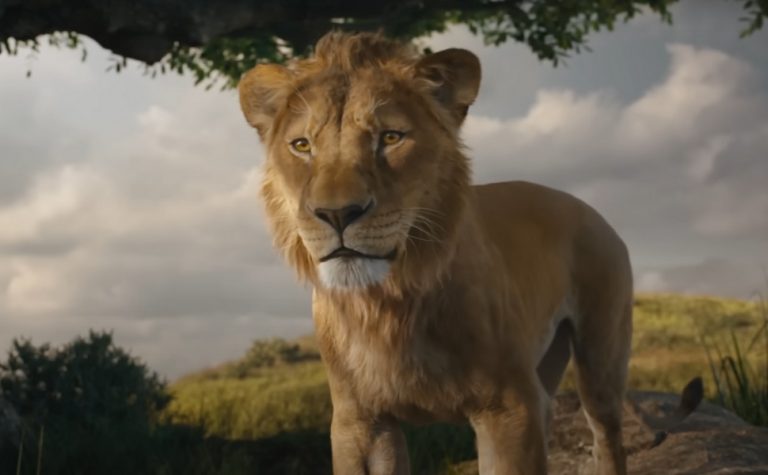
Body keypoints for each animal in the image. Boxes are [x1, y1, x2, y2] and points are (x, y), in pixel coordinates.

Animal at [238, 32, 633, 475]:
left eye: (390, 138)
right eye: (302, 146)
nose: (337, 214)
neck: (386, 305)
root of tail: (586, 207)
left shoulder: (508, 408)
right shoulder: (359, 421)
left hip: (601, 358)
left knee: (607, 436)